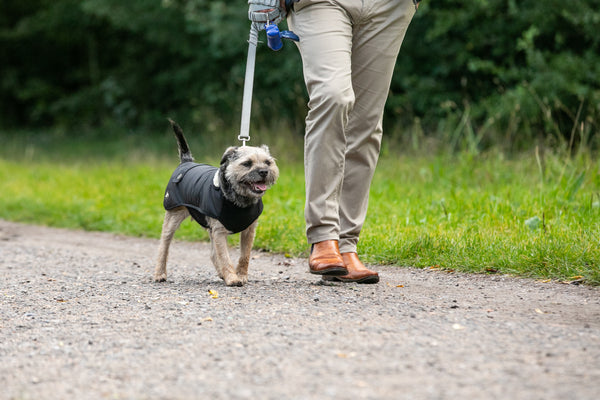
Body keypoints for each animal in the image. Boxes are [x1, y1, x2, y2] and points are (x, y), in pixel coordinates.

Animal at [152, 120, 278, 286]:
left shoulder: (249, 230)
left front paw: (241, 275)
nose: (264, 171)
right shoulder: (219, 231)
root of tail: (186, 163)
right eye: (247, 163)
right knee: (163, 246)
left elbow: (244, 255)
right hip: (173, 217)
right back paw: (160, 273)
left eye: (268, 162)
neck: (239, 199)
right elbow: (224, 256)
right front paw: (232, 278)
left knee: (212, 254)